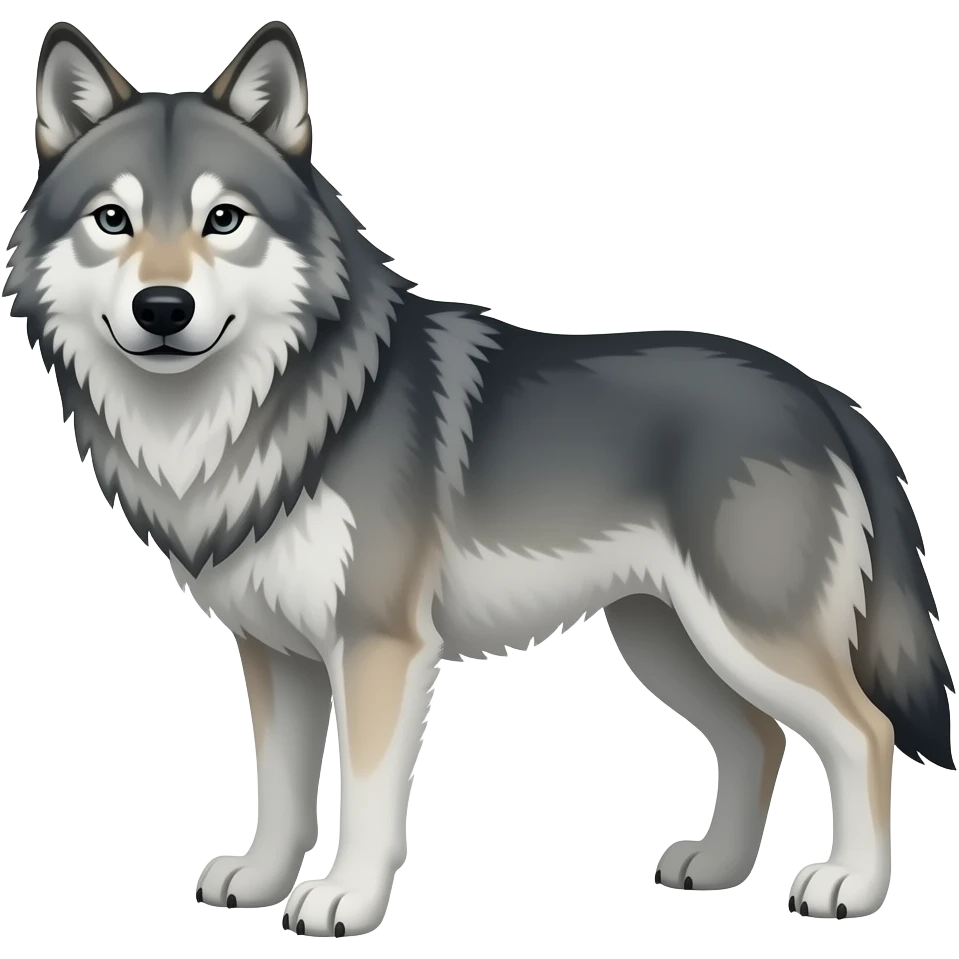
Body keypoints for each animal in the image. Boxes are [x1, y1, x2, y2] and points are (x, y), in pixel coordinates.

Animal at [4, 18, 953, 937]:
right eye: (113, 219)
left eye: (225, 218)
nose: (163, 309)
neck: (243, 418)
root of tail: (820, 394)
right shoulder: (277, 652)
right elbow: (279, 789)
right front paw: (264, 880)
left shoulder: (379, 646)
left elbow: (365, 795)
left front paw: (345, 900)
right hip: (666, 640)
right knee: (757, 738)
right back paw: (715, 868)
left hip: (746, 635)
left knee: (862, 732)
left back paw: (849, 885)